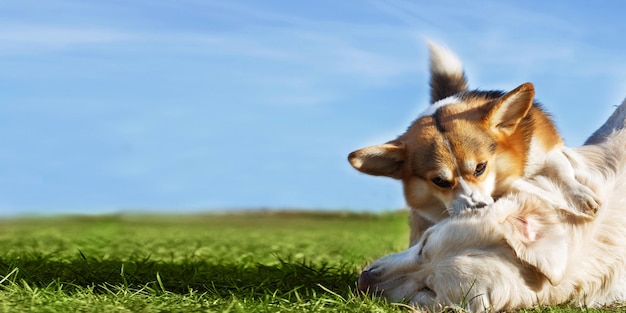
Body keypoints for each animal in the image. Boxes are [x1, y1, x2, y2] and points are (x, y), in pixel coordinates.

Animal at [348, 42, 596, 245]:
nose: (477, 209)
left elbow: (563, 172)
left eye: (480, 168)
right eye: (439, 181)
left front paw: (581, 198)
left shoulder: (546, 150)